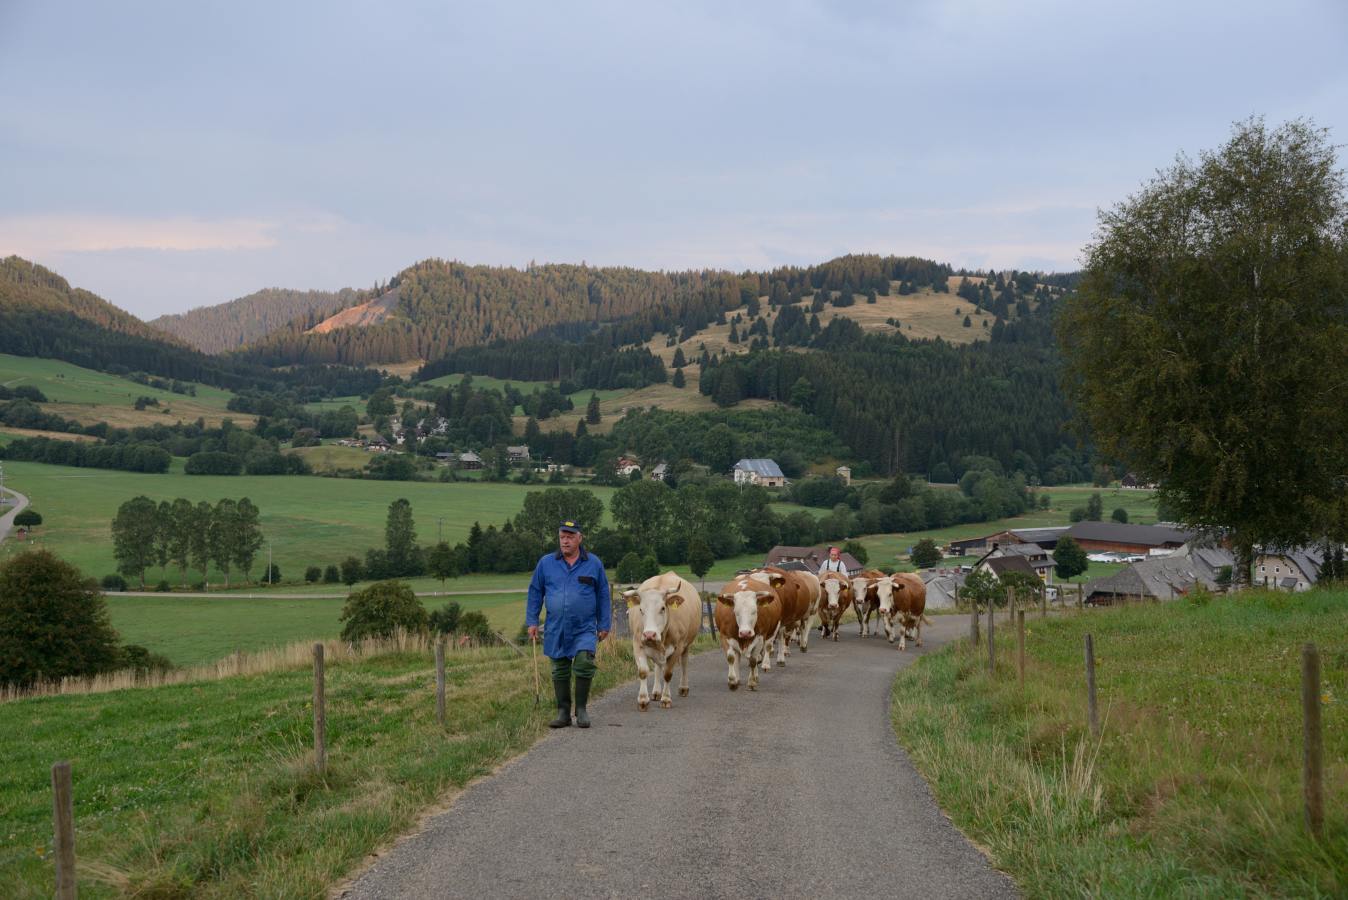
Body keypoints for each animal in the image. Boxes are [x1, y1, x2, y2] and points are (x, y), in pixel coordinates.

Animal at [622, 573, 700, 705]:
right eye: (641, 609)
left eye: (663, 608)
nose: (649, 634)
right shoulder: (637, 643)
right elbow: (643, 671)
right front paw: (643, 699)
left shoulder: (678, 647)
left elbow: (668, 673)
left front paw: (666, 698)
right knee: (658, 666)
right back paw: (656, 692)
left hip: (686, 645)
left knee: (684, 663)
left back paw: (683, 688)